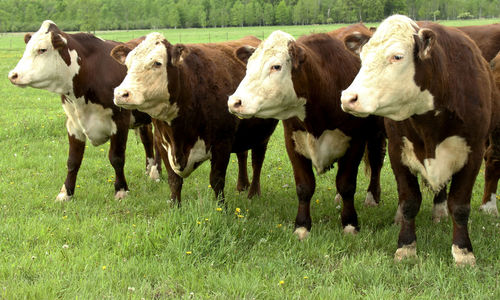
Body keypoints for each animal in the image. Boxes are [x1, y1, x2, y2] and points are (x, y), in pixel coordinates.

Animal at [7, 20, 160, 202]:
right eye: (27, 48)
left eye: (42, 49)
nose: (13, 75)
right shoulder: (73, 123)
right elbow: (73, 160)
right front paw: (65, 193)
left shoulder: (120, 121)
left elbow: (116, 158)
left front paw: (121, 190)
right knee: (147, 139)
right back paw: (150, 170)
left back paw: (156, 172)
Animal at [110, 32, 280, 202]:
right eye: (127, 64)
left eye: (157, 63)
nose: (121, 93)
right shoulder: (162, 143)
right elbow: (174, 180)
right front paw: (175, 205)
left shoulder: (222, 143)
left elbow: (217, 180)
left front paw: (221, 206)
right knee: (242, 155)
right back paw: (242, 186)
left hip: (262, 134)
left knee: (257, 161)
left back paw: (253, 193)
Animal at [228, 29, 386, 240]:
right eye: (249, 65)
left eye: (276, 66)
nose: (235, 101)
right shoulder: (293, 142)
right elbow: (304, 186)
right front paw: (302, 226)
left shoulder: (356, 142)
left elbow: (347, 184)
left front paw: (350, 223)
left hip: (377, 133)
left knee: (376, 162)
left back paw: (372, 197)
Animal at [340, 15, 500, 266]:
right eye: (362, 56)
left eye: (397, 56)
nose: (348, 97)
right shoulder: (398, 150)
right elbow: (409, 201)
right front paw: (406, 247)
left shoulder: (472, 153)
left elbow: (460, 205)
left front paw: (463, 252)